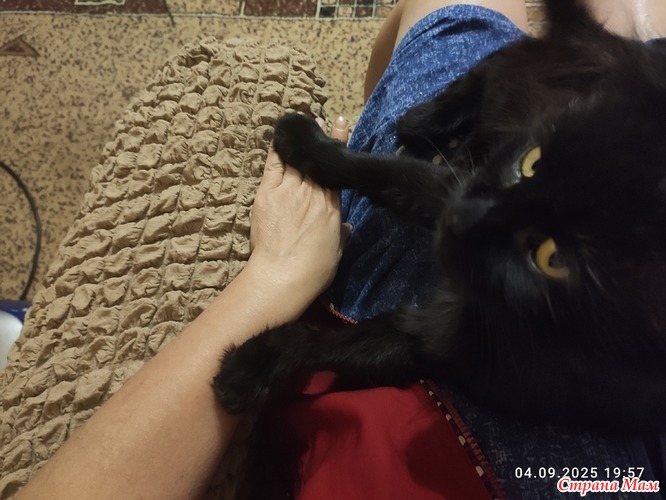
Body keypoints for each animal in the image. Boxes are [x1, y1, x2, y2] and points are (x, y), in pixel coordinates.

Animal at [213, 0, 666, 433]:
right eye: (533, 162)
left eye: (553, 258)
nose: (461, 218)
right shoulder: (447, 190)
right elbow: (373, 169)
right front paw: (301, 139)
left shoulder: (443, 345)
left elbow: (335, 346)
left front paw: (246, 370)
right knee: (483, 75)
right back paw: (425, 124)